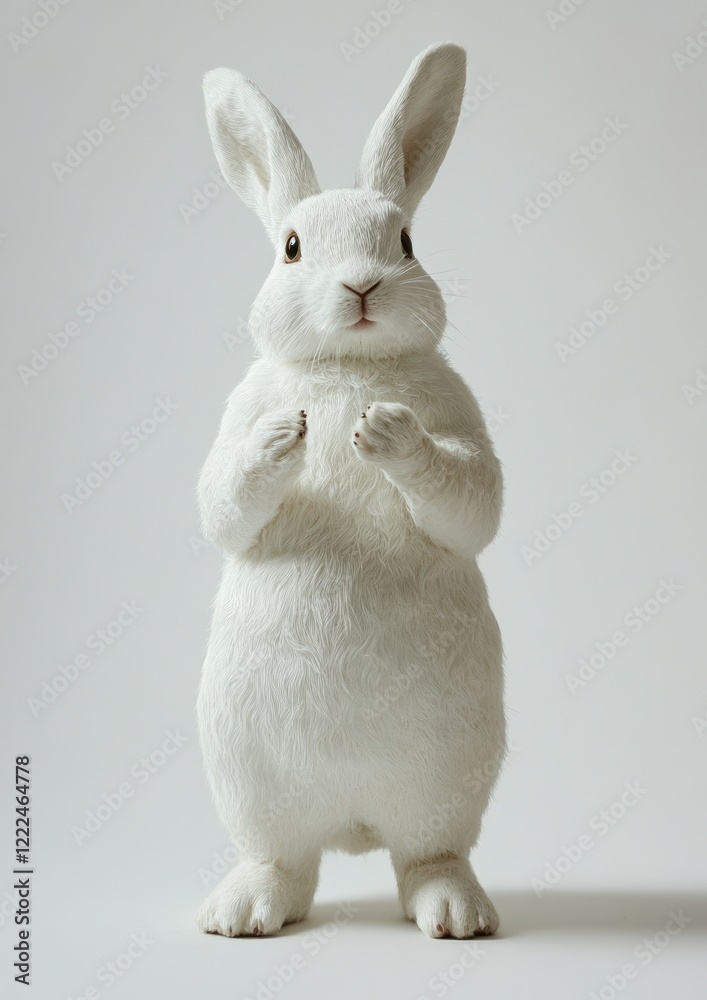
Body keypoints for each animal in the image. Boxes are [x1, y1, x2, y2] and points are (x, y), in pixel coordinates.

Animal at [196, 42, 506, 940]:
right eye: (293, 247)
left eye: (404, 239)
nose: (361, 288)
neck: (348, 366)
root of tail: (354, 822)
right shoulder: (231, 434)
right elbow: (221, 500)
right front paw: (287, 436)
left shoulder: (463, 426)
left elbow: (470, 497)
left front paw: (383, 433)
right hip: (250, 782)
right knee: (284, 863)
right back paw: (242, 912)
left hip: (447, 780)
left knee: (427, 857)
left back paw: (456, 913)